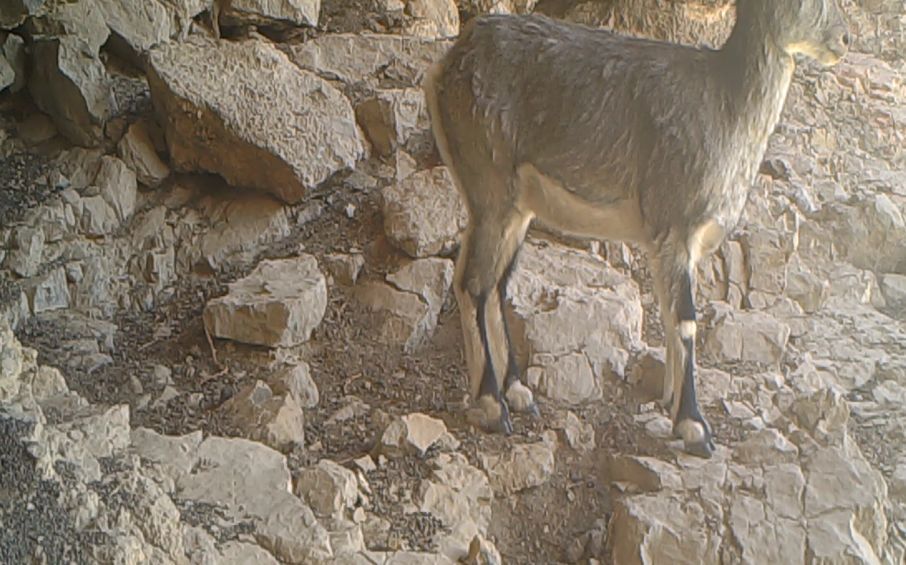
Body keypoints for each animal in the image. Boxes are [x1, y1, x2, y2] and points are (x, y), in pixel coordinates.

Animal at [424, 0, 848, 456]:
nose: (843, 39)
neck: (727, 108)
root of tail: (447, 65)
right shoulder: (674, 226)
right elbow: (685, 320)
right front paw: (694, 427)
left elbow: (669, 315)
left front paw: (670, 401)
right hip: (490, 187)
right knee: (474, 282)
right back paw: (491, 404)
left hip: (517, 209)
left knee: (494, 285)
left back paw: (518, 392)